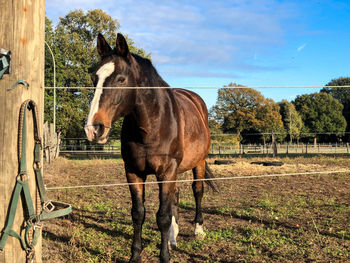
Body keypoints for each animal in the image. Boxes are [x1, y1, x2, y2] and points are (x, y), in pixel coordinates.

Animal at [84, 34, 216, 262]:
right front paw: (135, 256)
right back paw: (173, 236)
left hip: (198, 162)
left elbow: (162, 216)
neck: (151, 126)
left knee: (197, 191)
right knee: (176, 196)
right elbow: (138, 213)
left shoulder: (167, 171)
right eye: (94, 78)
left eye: (121, 79)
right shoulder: (133, 172)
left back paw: (198, 229)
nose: (94, 128)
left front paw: (164, 256)